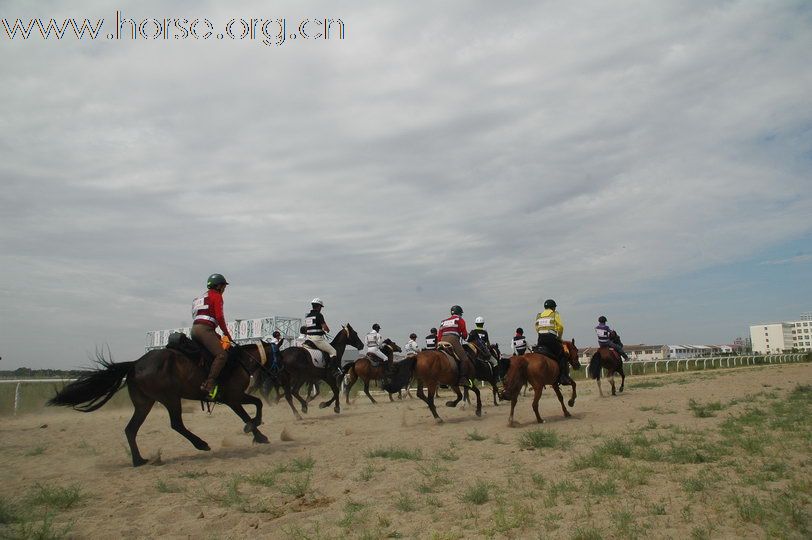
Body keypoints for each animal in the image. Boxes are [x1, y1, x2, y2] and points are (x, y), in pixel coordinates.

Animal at [48, 344, 276, 466]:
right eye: (278, 355)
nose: (276, 374)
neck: (240, 361)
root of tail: (135, 364)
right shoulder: (233, 398)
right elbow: (253, 409)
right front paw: (257, 432)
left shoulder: (234, 398)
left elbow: (253, 408)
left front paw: (257, 433)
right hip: (170, 398)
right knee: (176, 424)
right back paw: (201, 444)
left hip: (144, 403)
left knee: (131, 429)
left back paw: (139, 460)